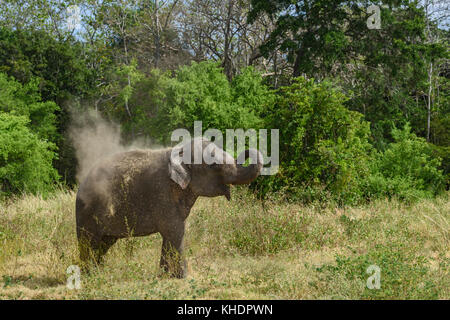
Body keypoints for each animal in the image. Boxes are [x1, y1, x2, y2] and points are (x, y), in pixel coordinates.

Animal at [75, 138, 262, 278]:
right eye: (213, 165)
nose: (245, 151)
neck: (177, 151)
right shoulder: (162, 193)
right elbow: (175, 230)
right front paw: (181, 277)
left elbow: (172, 232)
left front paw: (165, 276)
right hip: (87, 212)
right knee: (89, 242)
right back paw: (89, 275)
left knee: (104, 243)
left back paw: (99, 272)